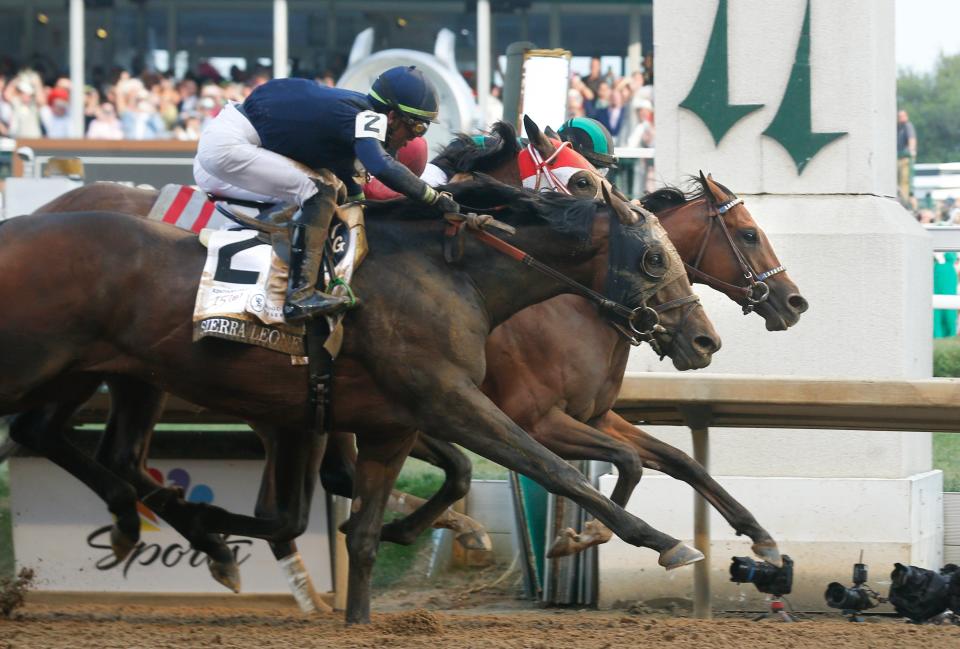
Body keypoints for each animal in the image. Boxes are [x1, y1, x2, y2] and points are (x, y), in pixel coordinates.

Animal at [1, 175, 712, 620]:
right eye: (654, 259)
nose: (704, 339)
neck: (453, 275)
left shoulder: (386, 422)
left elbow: (367, 523)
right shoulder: (455, 402)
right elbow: (556, 469)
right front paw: (663, 541)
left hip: (107, 375)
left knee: (72, 444)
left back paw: (161, 530)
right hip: (51, 367)